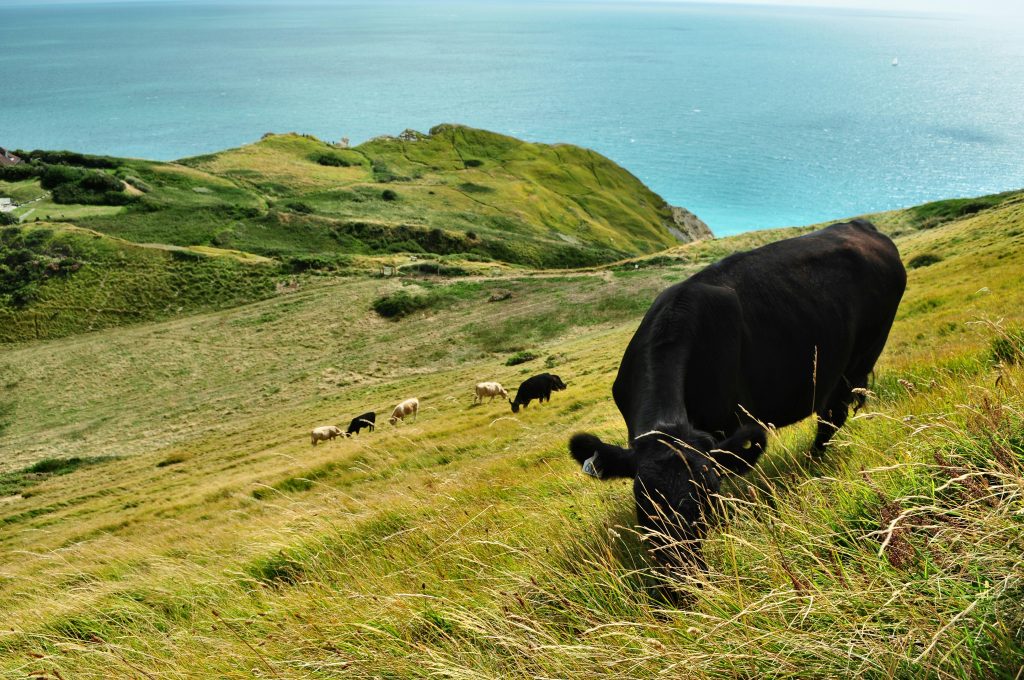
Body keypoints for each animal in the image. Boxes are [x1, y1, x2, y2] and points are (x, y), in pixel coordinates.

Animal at [569, 222, 905, 569]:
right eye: (644, 500)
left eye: (707, 496)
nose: (682, 571)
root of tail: (860, 226)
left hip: (860, 357)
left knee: (831, 417)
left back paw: (811, 463)